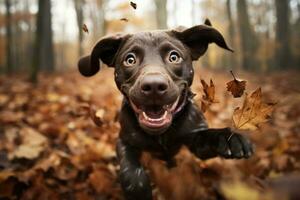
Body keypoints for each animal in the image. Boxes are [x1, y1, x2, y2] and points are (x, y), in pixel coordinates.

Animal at [78, 19, 253, 200]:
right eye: (130, 60)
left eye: (174, 57)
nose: (154, 86)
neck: (161, 134)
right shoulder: (124, 141)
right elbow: (130, 169)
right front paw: (138, 190)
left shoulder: (195, 140)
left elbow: (207, 136)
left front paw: (228, 137)